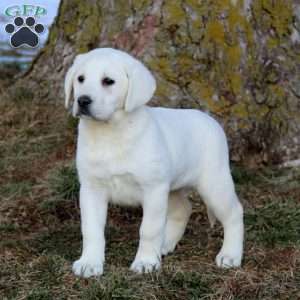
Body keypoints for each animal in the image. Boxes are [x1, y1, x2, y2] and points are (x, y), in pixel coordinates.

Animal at [64, 48, 243, 278]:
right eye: (80, 79)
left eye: (108, 81)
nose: (82, 101)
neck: (111, 133)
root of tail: (210, 120)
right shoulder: (91, 189)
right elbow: (91, 229)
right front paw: (90, 262)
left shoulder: (153, 189)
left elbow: (149, 229)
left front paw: (146, 262)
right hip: (173, 187)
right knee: (184, 209)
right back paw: (165, 244)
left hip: (214, 183)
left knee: (234, 213)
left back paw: (230, 255)